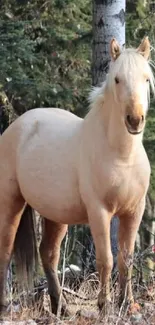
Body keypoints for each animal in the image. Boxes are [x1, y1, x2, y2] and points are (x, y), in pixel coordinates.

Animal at [0, 36, 154, 316]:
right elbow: (106, 260)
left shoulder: (133, 212)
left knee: (48, 254)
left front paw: (126, 305)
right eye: (117, 79)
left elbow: (125, 259)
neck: (121, 156)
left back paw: (60, 307)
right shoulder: (99, 212)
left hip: (55, 215)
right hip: (11, 202)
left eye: (146, 79)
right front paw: (104, 306)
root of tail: (17, 125)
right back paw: (6, 306)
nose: (135, 120)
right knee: (5, 252)